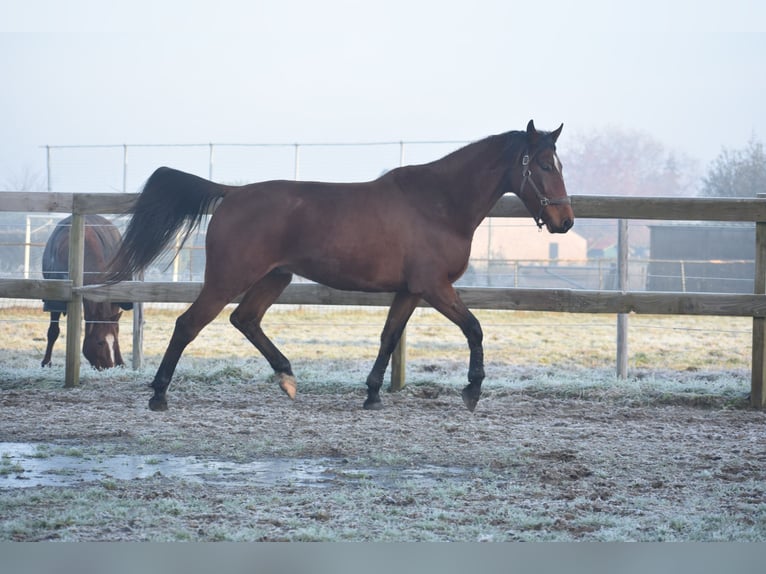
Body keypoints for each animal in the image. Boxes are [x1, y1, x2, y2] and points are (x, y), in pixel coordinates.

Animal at [42, 215, 134, 368]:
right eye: (100, 342)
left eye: (112, 342)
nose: (109, 366)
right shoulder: (54, 298)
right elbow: (53, 331)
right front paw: (46, 362)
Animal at [109, 120, 576, 414]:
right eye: (544, 165)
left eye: (559, 163)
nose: (565, 221)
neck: (438, 204)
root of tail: (231, 194)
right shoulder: (435, 286)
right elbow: (474, 328)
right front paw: (472, 390)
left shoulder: (410, 290)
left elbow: (389, 337)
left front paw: (372, 395)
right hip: (228, 279)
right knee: (188, 324)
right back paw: (159, 395)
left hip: (274, 278)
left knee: (245, 320)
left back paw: (287, 378)